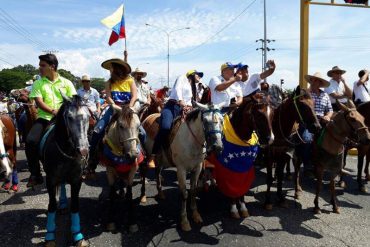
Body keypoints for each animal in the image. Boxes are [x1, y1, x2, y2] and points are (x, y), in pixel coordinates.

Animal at [40, 95, 90, 247]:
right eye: (69, 117)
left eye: (88, 117)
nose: (83, 150)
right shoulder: (50, 180)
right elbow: (51, 206)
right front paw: (49, 237)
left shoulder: (77, 180)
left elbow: (75, 205)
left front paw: (78, 236)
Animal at [98, 105, 143, 234]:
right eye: (121, 126)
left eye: (138, 126)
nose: (132, 155)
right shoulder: (109, 170)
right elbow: (112, 194)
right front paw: (110, 221)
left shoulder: (133, 170)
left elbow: (130, 194)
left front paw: (132, 222)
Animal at [142, 102, 223, 232]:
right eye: (205, 121)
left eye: (221, 120)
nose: (217, 147)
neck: (191, 141)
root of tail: (147, 117)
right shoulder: (181, 170)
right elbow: (184, 193)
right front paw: (184, 221)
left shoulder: (197, 168)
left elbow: (193, 191)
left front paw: (196, 215)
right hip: (148, 155)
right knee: (144, 171)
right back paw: (143, 196)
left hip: (160, 159)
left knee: (157, 171)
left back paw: (160, 193)